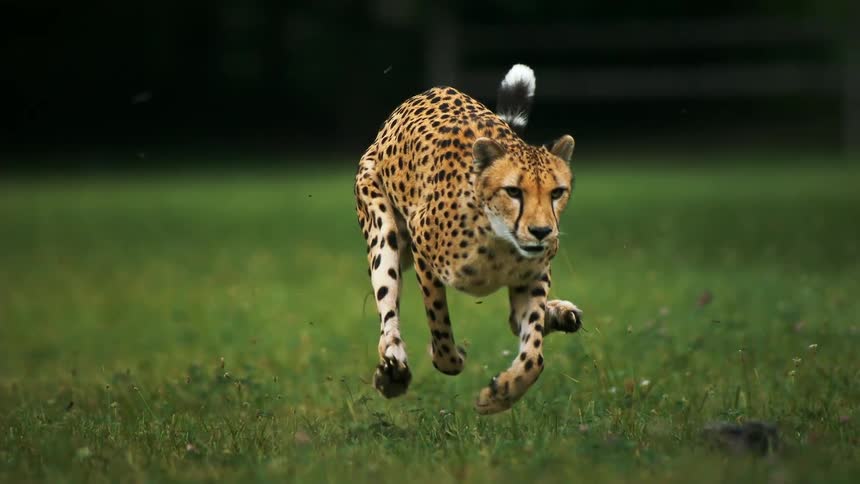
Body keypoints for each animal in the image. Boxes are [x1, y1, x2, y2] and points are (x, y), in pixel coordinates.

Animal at [354, 64, 583, 414]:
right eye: (513, 191)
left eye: (557, 192)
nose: (542, 231)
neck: (499, 240)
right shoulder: (422, 249)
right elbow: (439, 323)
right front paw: (449, 357)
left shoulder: (532, 276)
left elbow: (533, 355)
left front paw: (501, 393)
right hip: (384, 232)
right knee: (387, 309)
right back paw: (392, 371)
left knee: (517, 321)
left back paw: (560, 313)